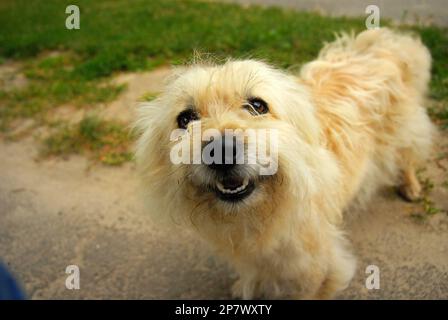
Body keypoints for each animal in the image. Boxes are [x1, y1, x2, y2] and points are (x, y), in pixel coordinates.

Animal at [133, 28, 434, 300]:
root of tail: (385, 42)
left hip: (404, 132)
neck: (258, 214)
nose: (221, 150)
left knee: (408, 156)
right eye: (185, 118)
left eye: (257, 105)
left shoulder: (319, 269)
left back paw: (411, 186)